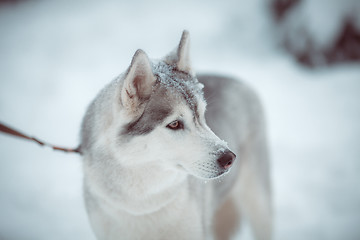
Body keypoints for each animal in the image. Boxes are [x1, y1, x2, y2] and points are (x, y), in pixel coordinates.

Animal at [79, 31, 270, 239]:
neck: (143, 205)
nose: (229, 158)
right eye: (175, 124)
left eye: (202, 116)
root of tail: (235, 79)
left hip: (259, 205)